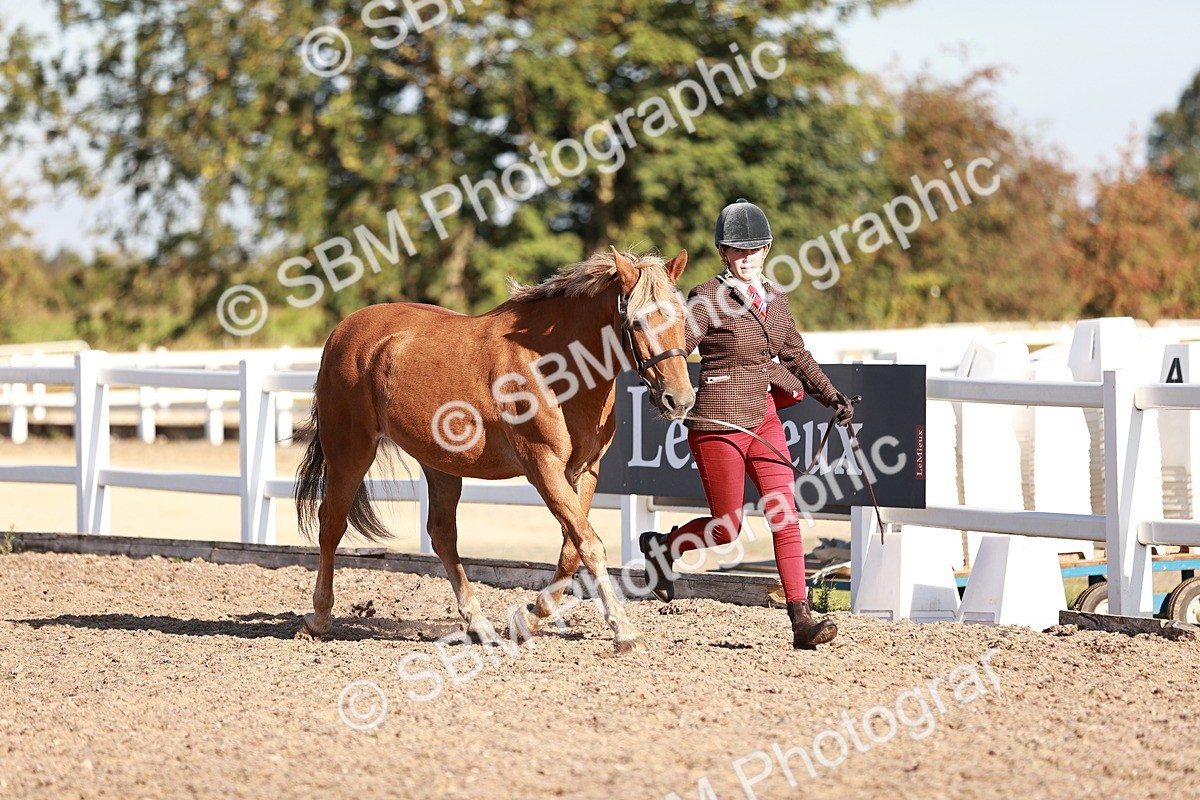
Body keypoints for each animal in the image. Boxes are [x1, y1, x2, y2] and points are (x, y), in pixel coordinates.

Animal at [294, 247, 694, 653]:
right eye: (637, 322)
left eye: (681, 315)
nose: (679, 400)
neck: (556, 367)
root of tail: (343, 332)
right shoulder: (543, 467)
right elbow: (590, 545)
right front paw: (625, 632)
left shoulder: (585, 471)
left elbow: (572, 549)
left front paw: (528, 621)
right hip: (350, 451)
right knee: (332, 523)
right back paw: (319, 617)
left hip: (440, 465)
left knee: (442, 535)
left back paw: (481, 626)